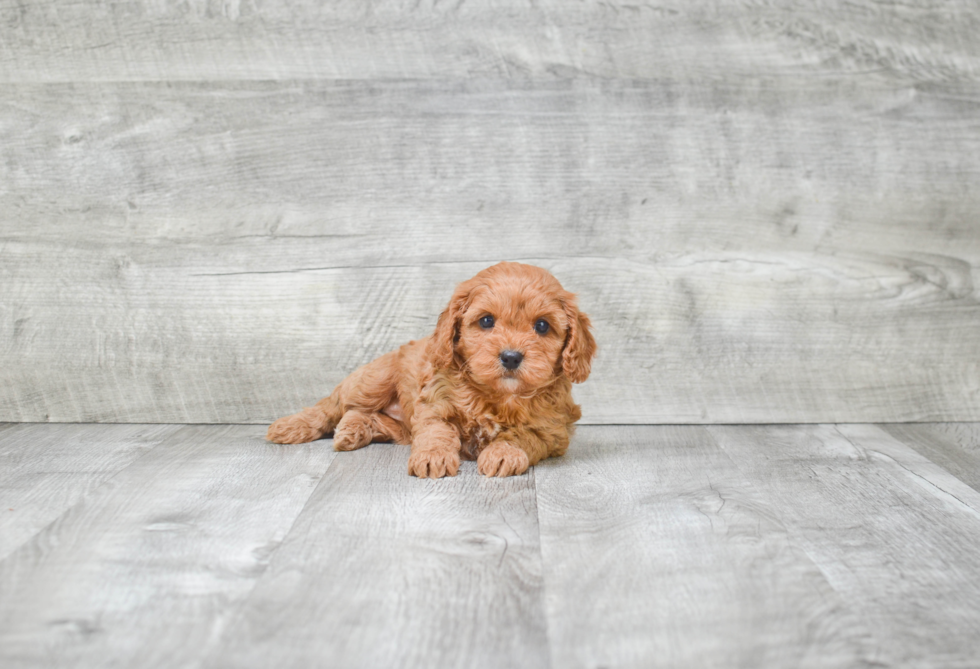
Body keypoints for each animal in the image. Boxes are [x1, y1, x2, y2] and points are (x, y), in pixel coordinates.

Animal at [264, 260, 596, 474]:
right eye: (486, 321)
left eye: (542, 326)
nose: (511, 357)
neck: (498, 397)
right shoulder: (434, 404)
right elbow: (438, 431)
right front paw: (433, 458)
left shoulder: (551, 430)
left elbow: (522, 437)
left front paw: (503, 454)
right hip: (374, 378)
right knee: (335, 405)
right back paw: (292, 426)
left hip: (396, 424)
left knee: (362, 415)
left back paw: (352, 431)